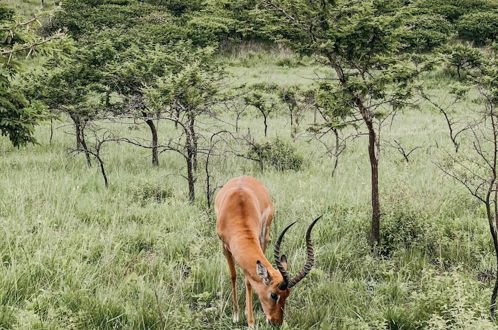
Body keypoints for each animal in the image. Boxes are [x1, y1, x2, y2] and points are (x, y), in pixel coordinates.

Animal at [215, 177, 322, 326]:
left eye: (288, 294)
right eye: (274, 294)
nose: (276, 322)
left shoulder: (258, 237)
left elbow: (248, 281)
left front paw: (250, 321)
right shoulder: (225, 245)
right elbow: (233, 275)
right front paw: (236, 316)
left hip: (265, 235)